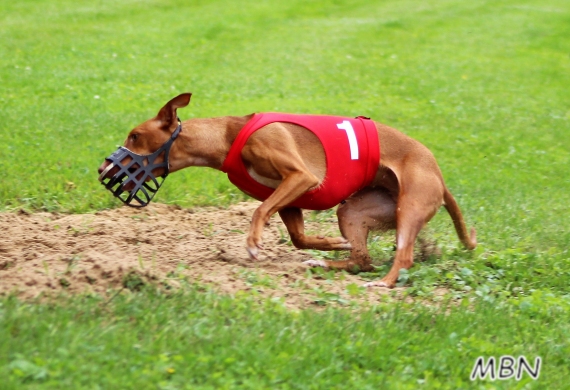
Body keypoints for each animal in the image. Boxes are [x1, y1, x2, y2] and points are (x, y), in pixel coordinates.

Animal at [98, 91, 474, 286]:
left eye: (134, 135)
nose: (102, 168)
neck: (228, 137)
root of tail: (439, 174)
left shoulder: (300, 177)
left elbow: (259, 212)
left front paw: (253, 244)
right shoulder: (291, 199)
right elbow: (299, 238)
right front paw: (329, 244)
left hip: (409, 206)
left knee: (402, 256)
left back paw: (382, 284)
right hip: (354, 210)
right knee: (362, 259)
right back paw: (328, 262)